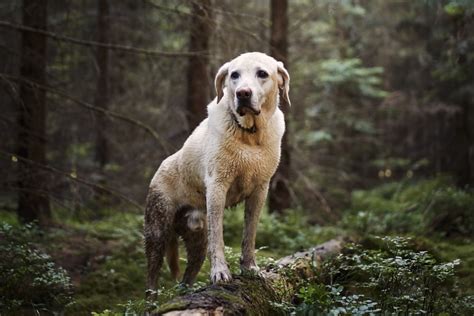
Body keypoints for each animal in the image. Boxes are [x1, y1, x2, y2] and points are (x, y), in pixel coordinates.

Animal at [143, 51, 288, 292]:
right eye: (234, 75)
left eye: (262, 74)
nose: (243, 93)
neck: (250, 135)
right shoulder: (218, 187)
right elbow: (218, 237)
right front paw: (220, 273)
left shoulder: (260, 190)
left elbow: (249, 234)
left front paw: (250, 268)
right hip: (157, 232)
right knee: (152, 278)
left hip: (196, 243)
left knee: (187, 276)